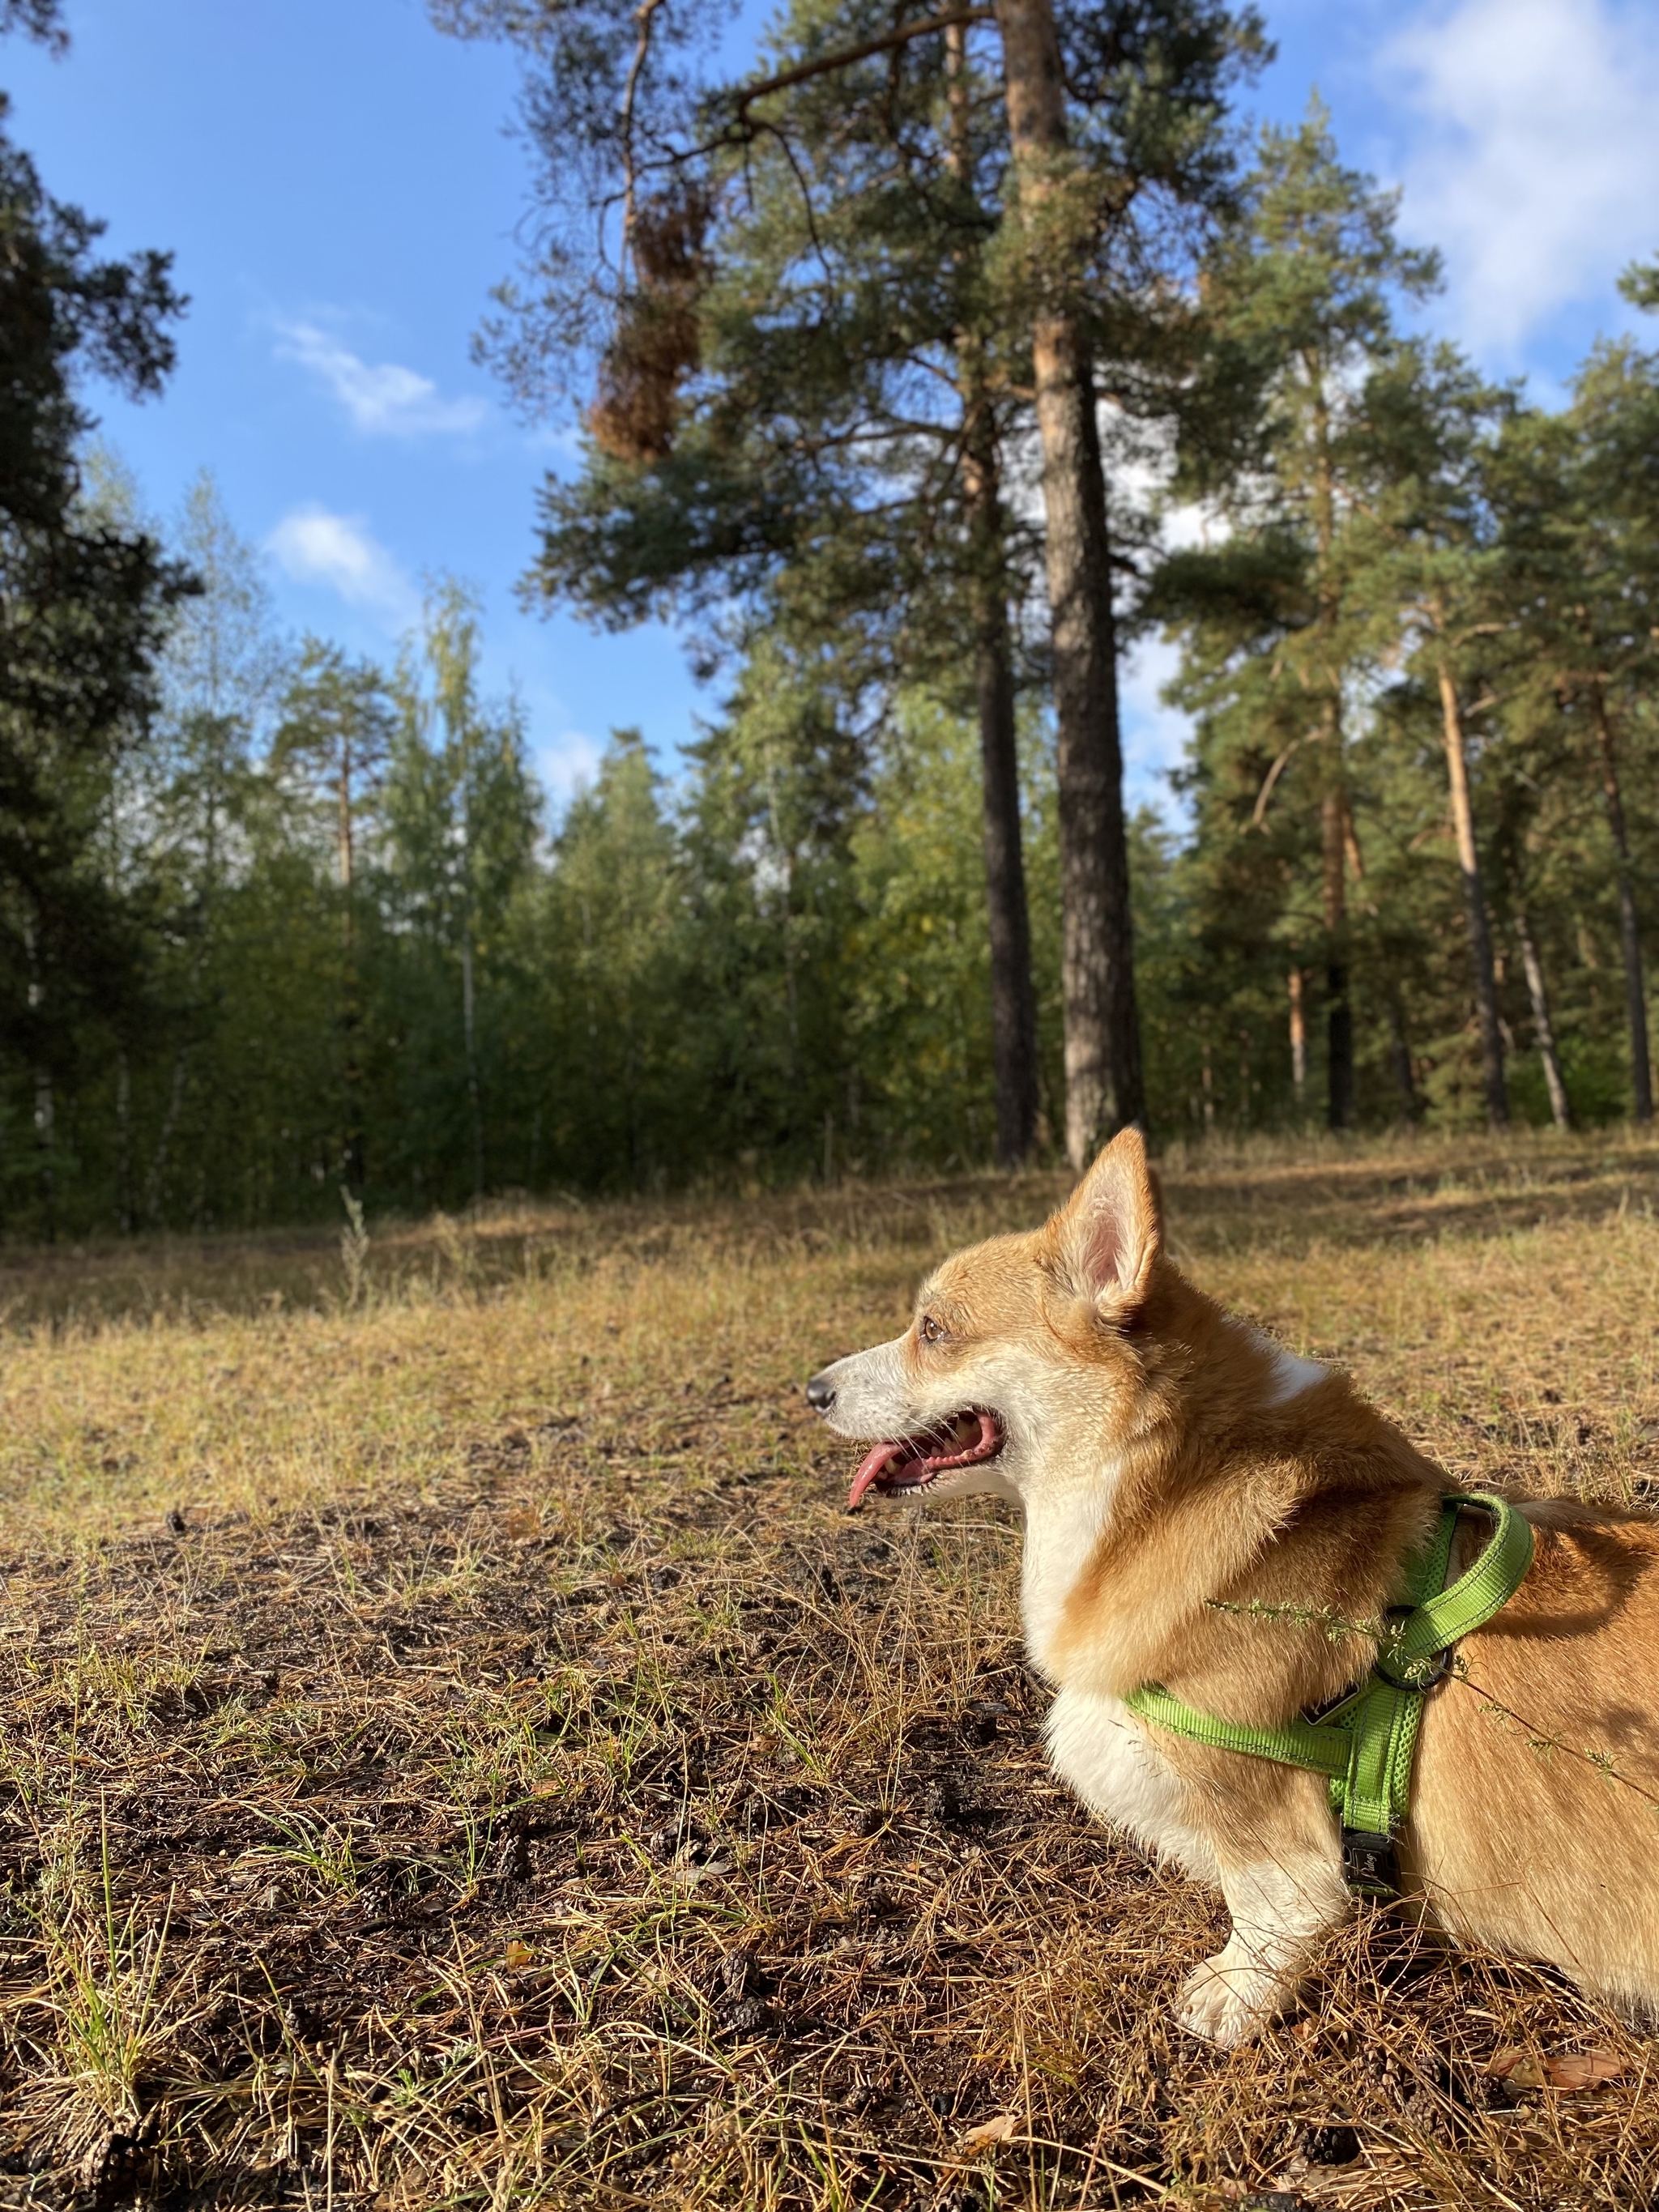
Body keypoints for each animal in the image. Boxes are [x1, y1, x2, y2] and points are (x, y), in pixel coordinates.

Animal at [804, 1132, 1659, 2044]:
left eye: (933, 1330)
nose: (811, 1391)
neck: (1161, 1482)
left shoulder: (1256, 1804)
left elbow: (1273, 1901)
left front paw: (1229, 1996)